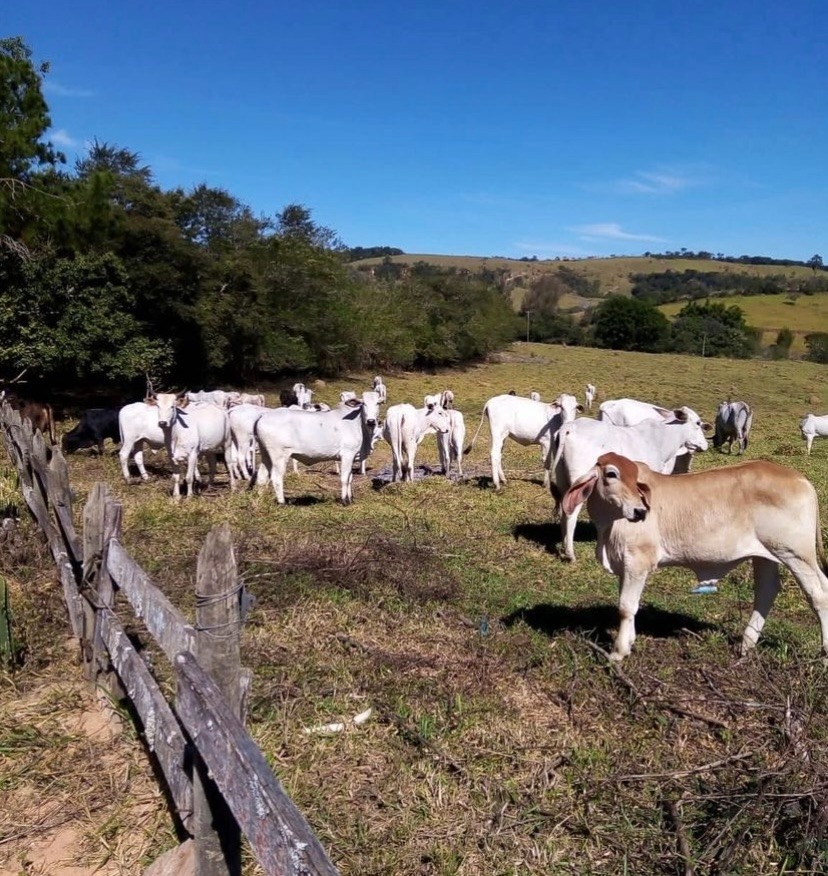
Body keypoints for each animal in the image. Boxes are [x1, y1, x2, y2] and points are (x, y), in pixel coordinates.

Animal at [552, 412, 708, 560]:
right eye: (698, 423)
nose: (705, 444)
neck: (661, 439)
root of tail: (570, 427)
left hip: (564, 481)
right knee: (571, 514)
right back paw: (570, 553)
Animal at [564, 456, 828, 660]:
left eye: (634, 478)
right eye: (611, 474)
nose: (639, 511)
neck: (608, 524)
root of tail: (801, 479)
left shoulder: (637, 562)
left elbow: (626, 607)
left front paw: (618, 652)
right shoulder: (625, 565)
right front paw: (628, 642)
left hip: (796, 554)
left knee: (818, 594)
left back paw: (824, 653)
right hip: (766, 555)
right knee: (767, 590)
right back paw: (746, 645)